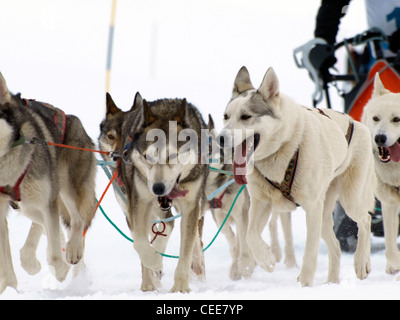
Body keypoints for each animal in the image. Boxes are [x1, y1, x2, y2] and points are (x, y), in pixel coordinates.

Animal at [220, 66, 376, 286]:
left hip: (350, 200)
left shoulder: (311, 207)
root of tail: (357, 123)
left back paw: (361, 262)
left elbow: (310, 252)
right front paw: (266, 259)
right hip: (324, 214)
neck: (282, 149)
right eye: (226, 116)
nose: (220, 138)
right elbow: (250, 235)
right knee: (336, 247)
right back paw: (332, 283)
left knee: (365, 220)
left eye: (245, 116)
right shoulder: (261, 203)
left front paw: (305, 284)